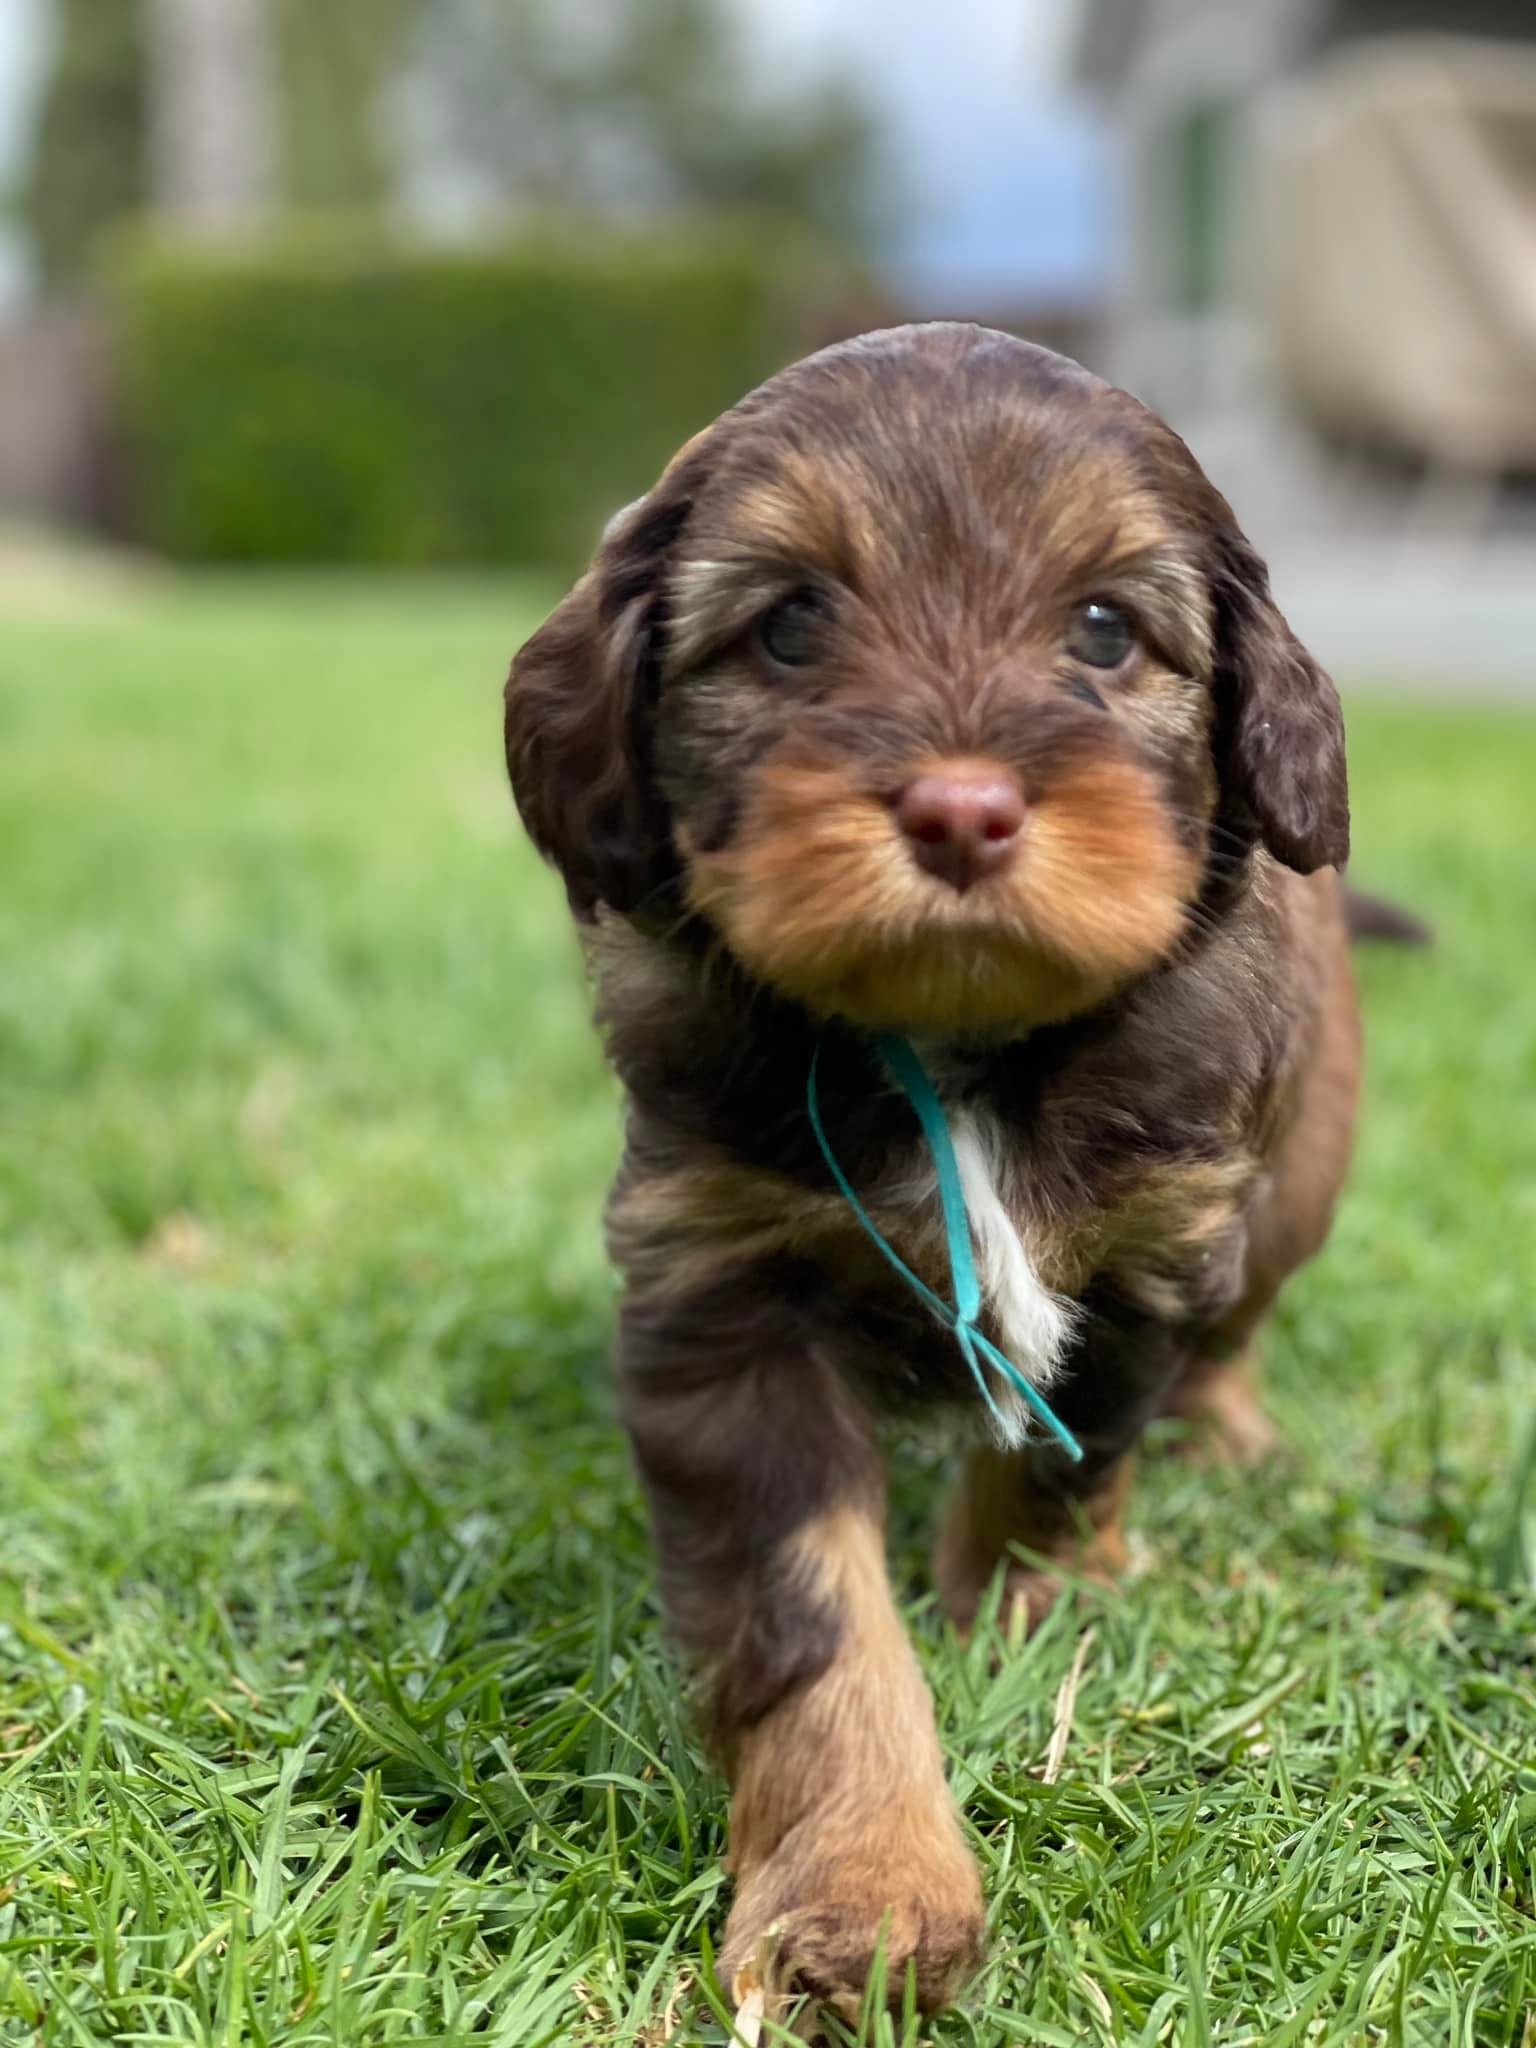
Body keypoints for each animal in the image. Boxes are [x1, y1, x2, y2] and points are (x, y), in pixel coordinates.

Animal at [501, 319, 1359, 2015]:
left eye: (1102, 630)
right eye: (788, 626)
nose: (963, 809)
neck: (957, 1047)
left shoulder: (1145, 1260)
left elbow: (1059, 1471)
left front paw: (1020, 1625)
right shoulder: (723, 1303)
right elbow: (814, 1627)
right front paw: (867, 1894)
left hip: (1292, 1182)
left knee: (1240, 1324)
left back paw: (1233, 1430)